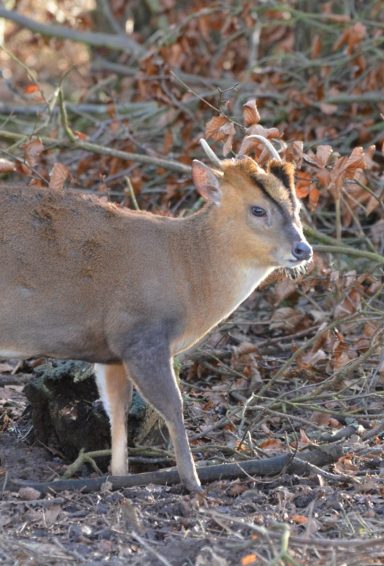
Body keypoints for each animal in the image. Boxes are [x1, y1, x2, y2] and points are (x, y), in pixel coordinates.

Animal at [0, 136, 312, 492]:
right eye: (258, 209)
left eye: (296, 208)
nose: (303, 249)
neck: (188, 272)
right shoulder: (142, 334)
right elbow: (174, 406)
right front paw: (193, 481)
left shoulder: (112, 351)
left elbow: (117, 409)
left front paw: (119, 475)